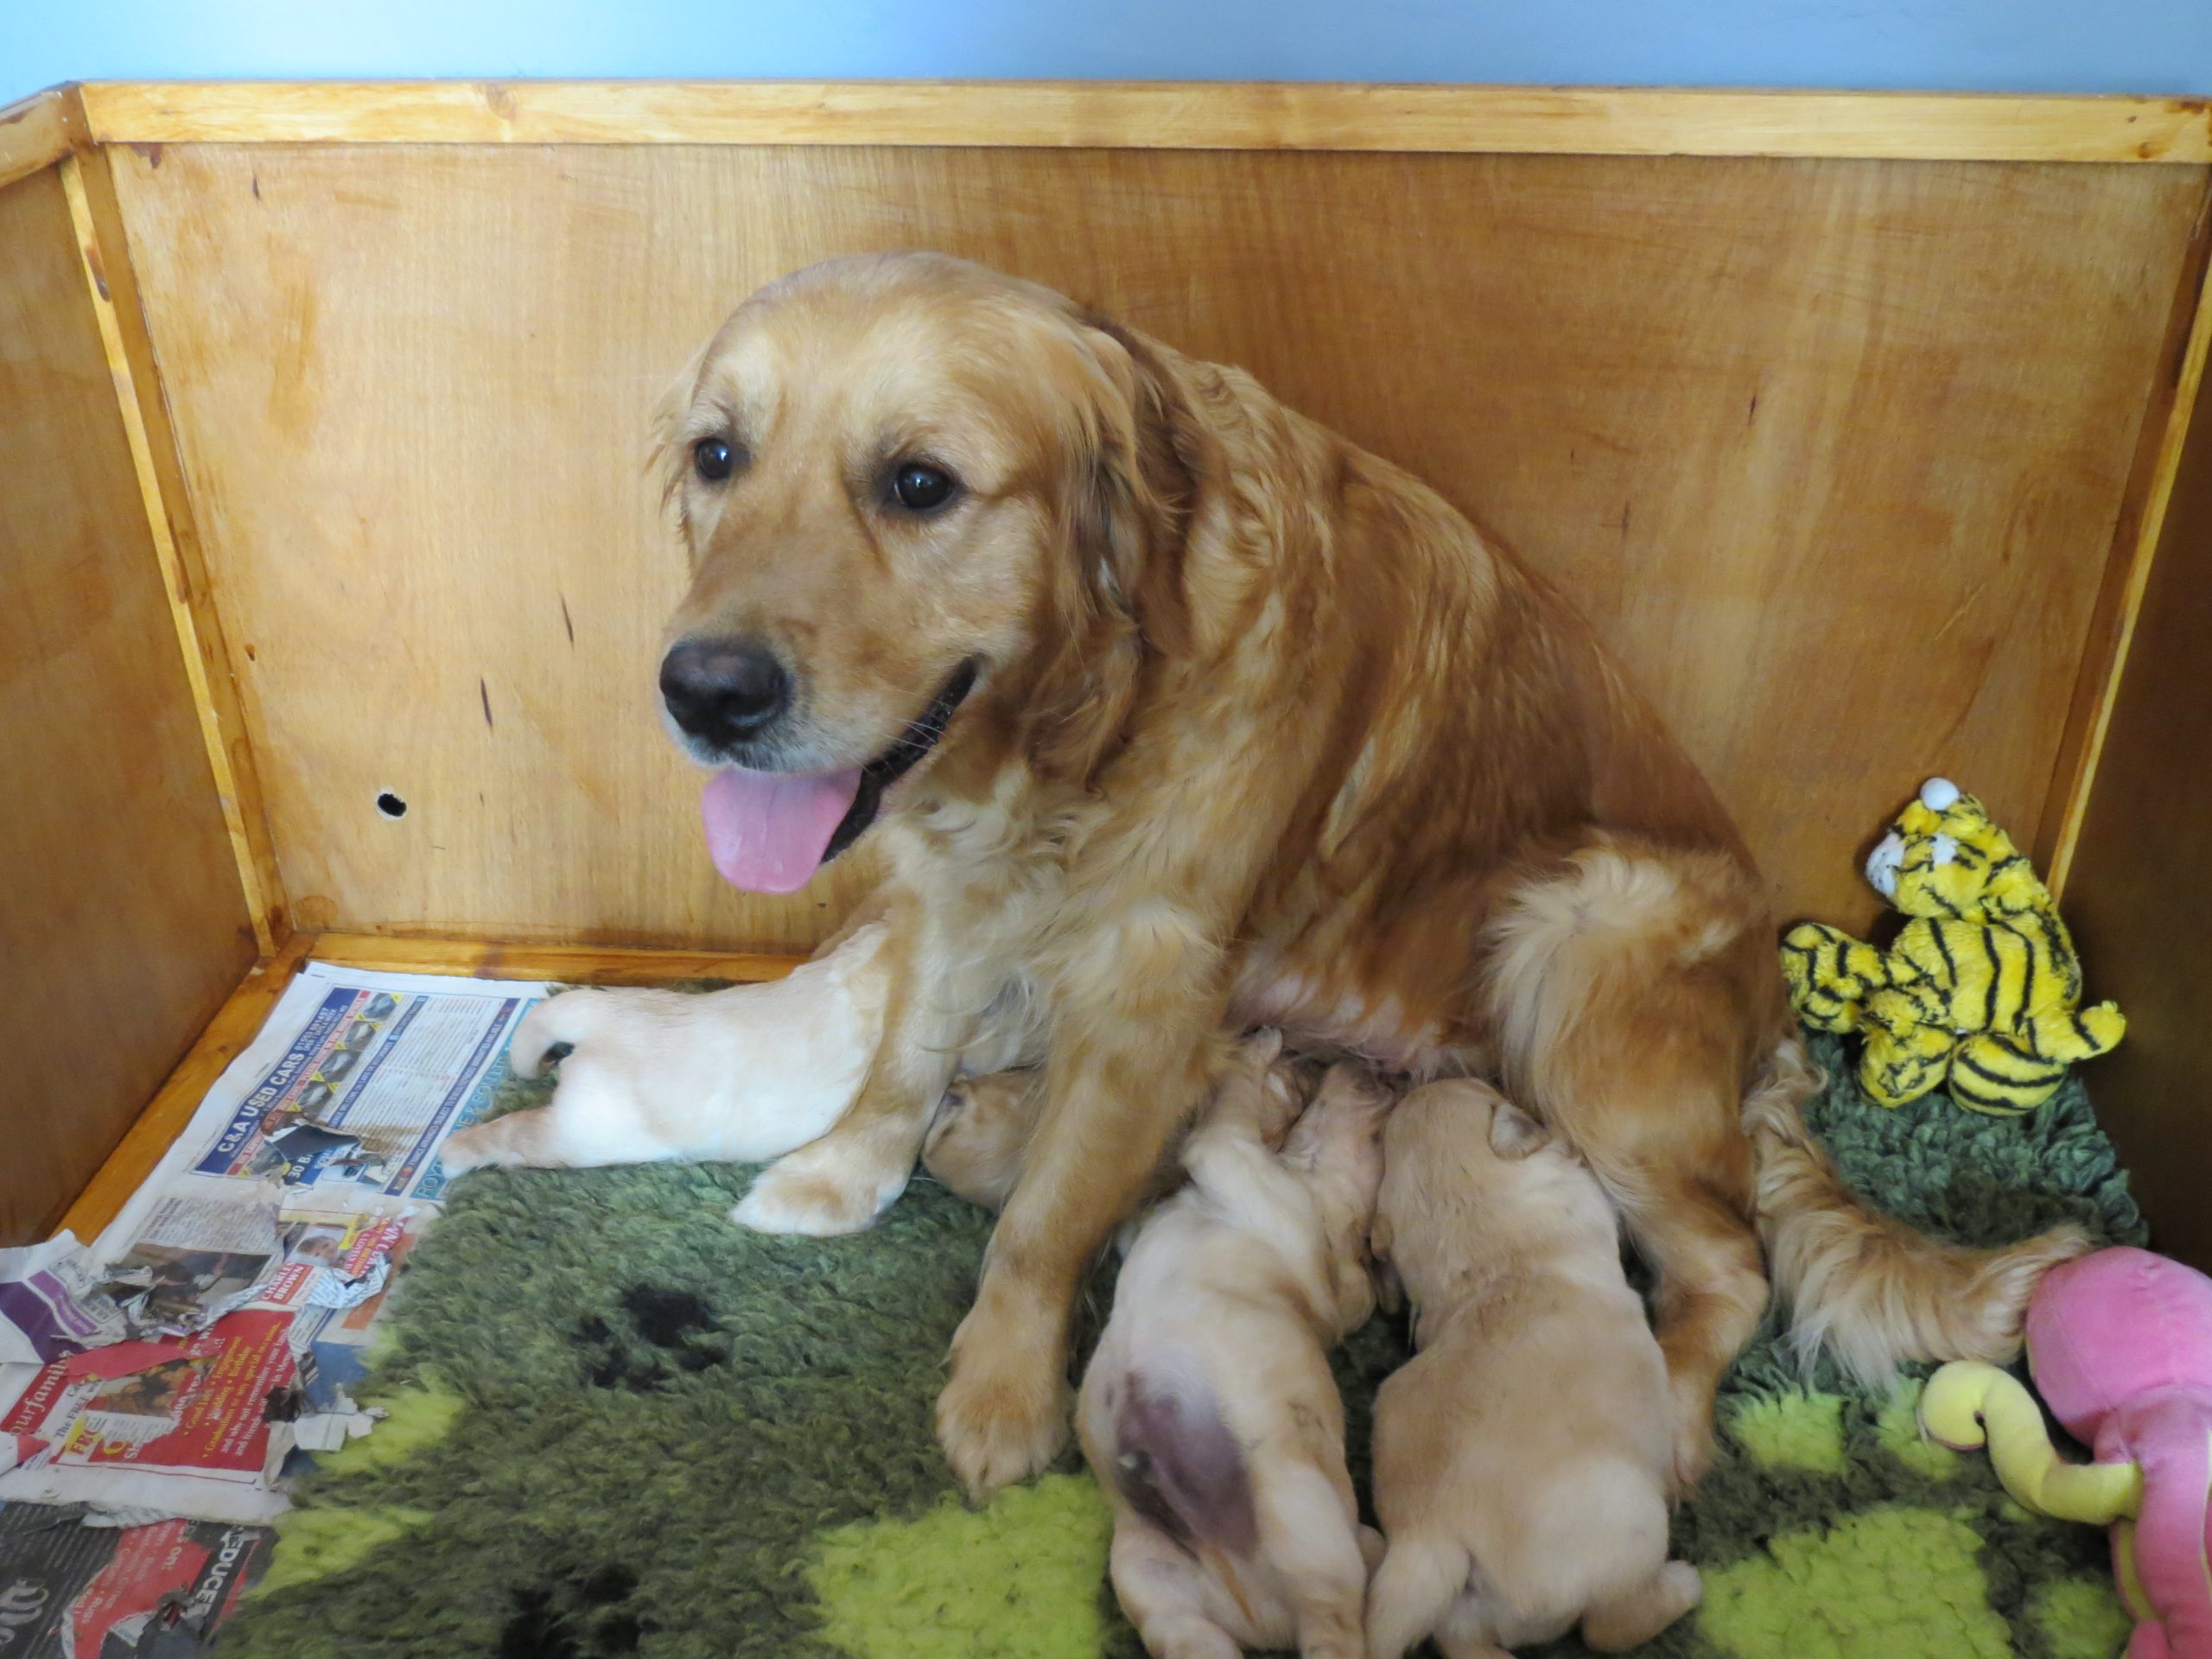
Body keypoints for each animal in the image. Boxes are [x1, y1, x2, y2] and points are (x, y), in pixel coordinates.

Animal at [493, 253, 2079, 1503]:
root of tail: (1768, 1034)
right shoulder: (953, 889)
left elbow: (1043, 1216)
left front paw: (999, 1392)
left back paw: (1674, 1431)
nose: (705, 691)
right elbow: (903, 1053)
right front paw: (842, 1173)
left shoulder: (1153, 981)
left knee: (1735, 1265)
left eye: (921, 485)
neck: (1082, 723)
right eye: (718, 458)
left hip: (1580, 939)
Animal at [1075, 1035, 1397, 1654]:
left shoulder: (1232, 1161)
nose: (1382, 1075)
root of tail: (1257, 1613)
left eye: (1376, 1139)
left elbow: (1230, 1116)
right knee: (1189, 1635)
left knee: (1333, 1626)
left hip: (1304, 1526)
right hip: (1148, 1573)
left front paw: (1258, 1056)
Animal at [1362, 1079, 1689, 1659]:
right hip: (1630, 1523)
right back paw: (1686, 1584)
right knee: (1610, 1626)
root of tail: (1428, 1534)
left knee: (1458, 1636)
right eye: (1483, 1087)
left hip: (1467, 1605)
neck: (1492, 1264)